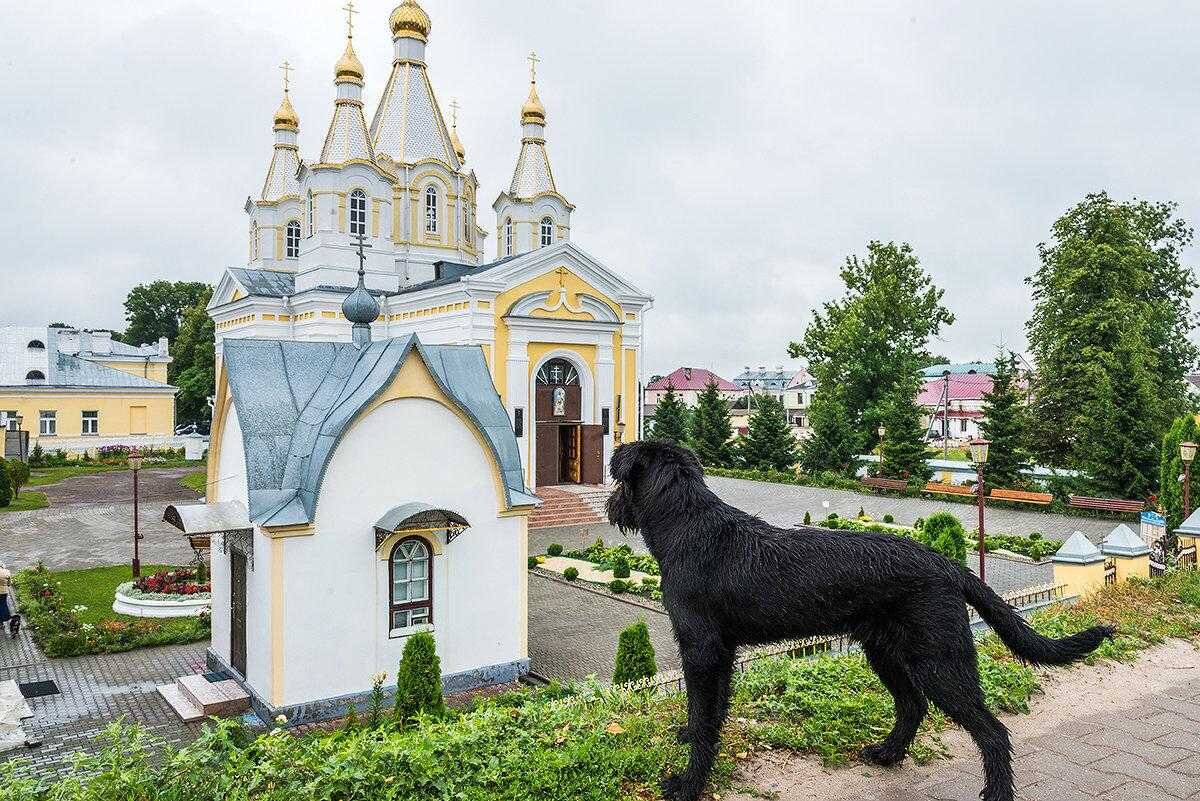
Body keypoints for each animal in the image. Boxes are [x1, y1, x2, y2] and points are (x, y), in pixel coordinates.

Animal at [609, 438, 1113, 801]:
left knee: (992, 732)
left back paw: (995, 793)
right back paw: (887, 753)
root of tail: (946, 563)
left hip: (940, 661)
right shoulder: (720, 654)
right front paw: (691, 739)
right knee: (913, 705)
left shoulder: (702, 650)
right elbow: (708, 712)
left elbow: (704, 715)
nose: (611, 506)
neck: (686, 524)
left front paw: (688, 784)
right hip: (886, 651)